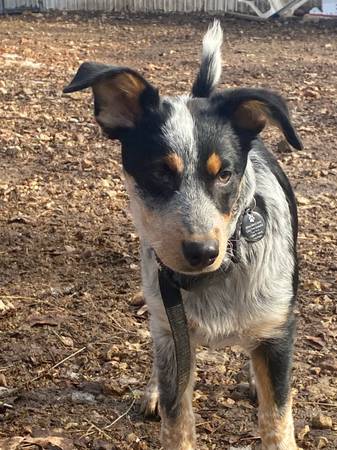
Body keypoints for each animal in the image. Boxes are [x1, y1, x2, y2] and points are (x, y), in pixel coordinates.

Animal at [64, 20, 300, 450]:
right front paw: (163, 398)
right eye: (159, 171)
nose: (202, 251)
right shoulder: (171, 328)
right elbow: (177, 419)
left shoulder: (278, 329)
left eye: (225, 174)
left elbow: (276, 419)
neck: (216, 276)